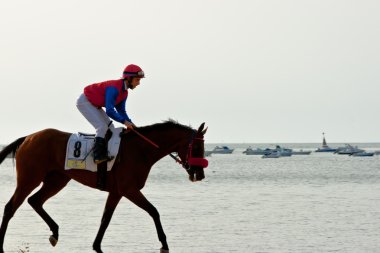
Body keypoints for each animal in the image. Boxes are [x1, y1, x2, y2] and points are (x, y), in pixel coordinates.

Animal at [0, 121, 208, 253]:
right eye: (197, 148)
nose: (200, 175)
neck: (141, 150)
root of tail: (28, 137)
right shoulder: (129, 190)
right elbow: (154, 211)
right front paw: (164, 244)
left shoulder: (117, 192)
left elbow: (105, 219)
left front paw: (96, 246)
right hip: (29, 178)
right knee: (11, 207)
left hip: (57, 180)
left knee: (35, 200)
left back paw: (55, 233)